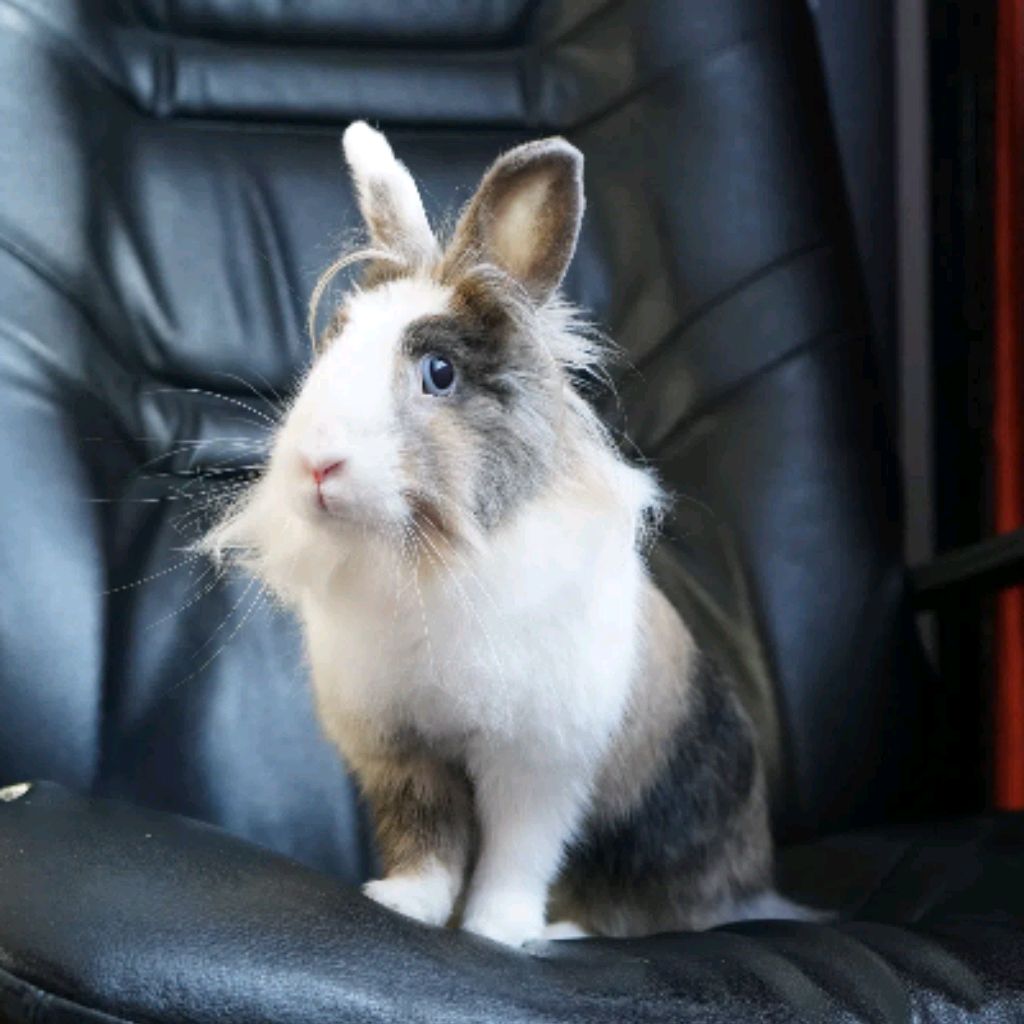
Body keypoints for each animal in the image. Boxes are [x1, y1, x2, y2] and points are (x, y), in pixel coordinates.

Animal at [202, 121, 782, 948]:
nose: (317, 464)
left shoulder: (538, 766)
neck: (423, 560)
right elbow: (428, 839)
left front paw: (495, 932)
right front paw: (403, 903)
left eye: (439, 372)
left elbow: (517, 855)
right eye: (335, 343)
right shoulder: (405, 753)